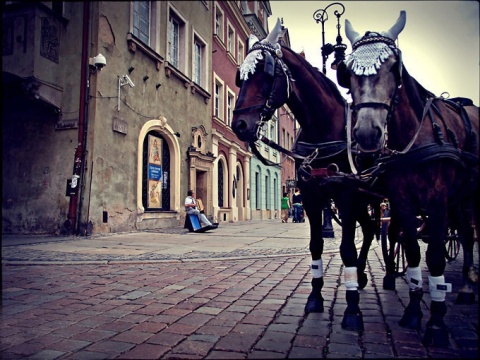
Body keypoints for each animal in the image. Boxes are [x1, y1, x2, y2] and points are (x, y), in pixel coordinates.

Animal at [232, 18, 382, 330]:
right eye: (241, 76)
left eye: (266, 72)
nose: (239, 124)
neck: (323, 129)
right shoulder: (312, 197)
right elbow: (315, 245)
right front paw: (315, 297)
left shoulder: (346, 196)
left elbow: (346, 249)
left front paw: (352, 309)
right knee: (369, 230)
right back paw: (361, 274)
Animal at [340, 9, 478, 344]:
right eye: (348, 72)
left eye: (394, 67)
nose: (366, 133)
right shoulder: (402, 201)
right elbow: (413, 250)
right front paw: (414, 311)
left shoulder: (437, 200)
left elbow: (436, 256)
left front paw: (437, 323)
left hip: (466, 196)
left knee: (466, 235)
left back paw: (468, 286)